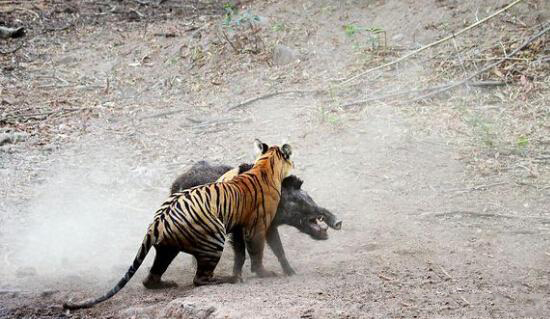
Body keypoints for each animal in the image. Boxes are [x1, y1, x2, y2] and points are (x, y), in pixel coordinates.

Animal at [63, 140, 296, 310]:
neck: (265, 165)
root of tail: (156, 223)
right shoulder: (258, 225)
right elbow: (260, 250)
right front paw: (265, 272)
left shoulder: (239, 226)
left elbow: (241, 251)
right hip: (213, 241)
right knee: (199, 280)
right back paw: (228, 279)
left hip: (168, 248)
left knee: (151, 278)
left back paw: (165, 283)